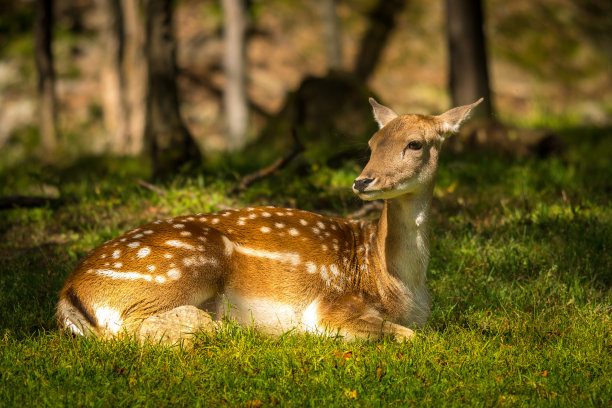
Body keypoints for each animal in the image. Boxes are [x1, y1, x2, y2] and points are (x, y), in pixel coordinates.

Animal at [57, 97, 482, 342]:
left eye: (416, 143)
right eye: (372, 143)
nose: (363, 181)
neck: (395, 283)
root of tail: (69, 292)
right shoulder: (332, 305)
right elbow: (413, 338)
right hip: (180, 269)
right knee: (139, 328)